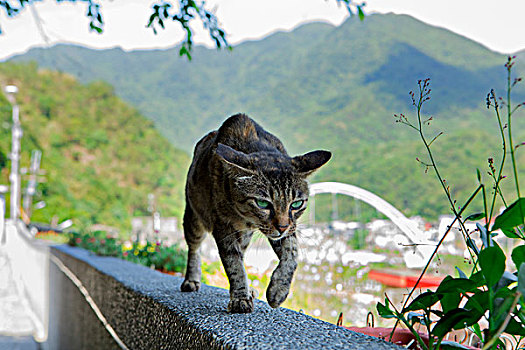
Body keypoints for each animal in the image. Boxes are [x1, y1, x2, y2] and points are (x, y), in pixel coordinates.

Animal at [179, 113, 328, 314]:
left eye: (296, 204)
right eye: (263, 203)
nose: (282, 227)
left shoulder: (287, 228)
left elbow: (292, 253)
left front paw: (278, 290)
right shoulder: (223, 226)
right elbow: (234, 264)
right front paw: (240, 298)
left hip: (245, 236)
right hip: (194, 217)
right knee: (194, 248)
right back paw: (192, 279)